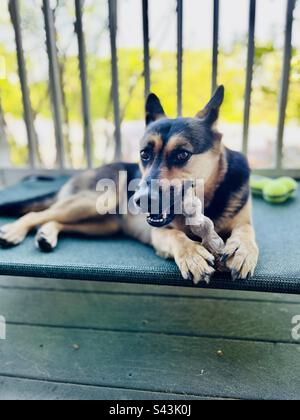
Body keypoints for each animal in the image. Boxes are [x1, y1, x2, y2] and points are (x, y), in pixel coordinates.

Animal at [0, 88, 258, 286]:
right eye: (145, 154)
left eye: (182, 154)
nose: (141, 200)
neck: (209, 199)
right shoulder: (160, 233)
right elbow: (177, 236)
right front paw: (192, 253)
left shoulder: (243, 220)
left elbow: (246, 230)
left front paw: (242, 249)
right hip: (94, 202)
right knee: (38, 214)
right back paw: (14, 230)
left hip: (102, 224)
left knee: (54, 220)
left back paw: (47, 233)